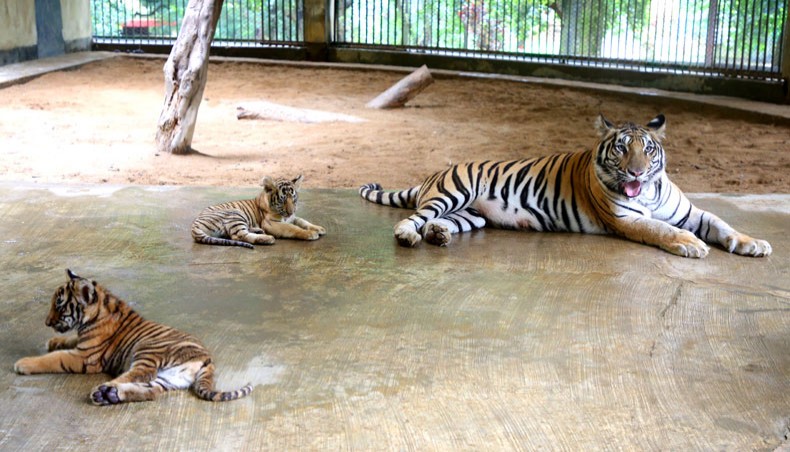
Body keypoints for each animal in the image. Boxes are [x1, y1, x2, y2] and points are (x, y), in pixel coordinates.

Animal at [14, 268, 254, 406]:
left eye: (59, 305)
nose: (47, 323)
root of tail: (208, 358)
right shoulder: (82, 343)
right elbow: (67, 341)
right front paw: (52, 342)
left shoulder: (85, 357)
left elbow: (54, 359)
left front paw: (23, 364)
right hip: (169, 378)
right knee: (150, 392)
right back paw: (110, 395)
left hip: (148, 350)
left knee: (139, 373)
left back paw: (103, 390)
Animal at [362, 113, 776, 258]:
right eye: (622, 149)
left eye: (648, 150)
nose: (637, 174)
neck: (650, 193)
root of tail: (431, 176)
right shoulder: (627, 219)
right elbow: (660, 229)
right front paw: (691, 245)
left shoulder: (692, 212)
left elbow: (722, 223)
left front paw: (754, 243)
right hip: (453, 193)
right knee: (412, 219)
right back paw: (410, 236)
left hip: (470, 215)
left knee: (440, 223)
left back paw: (438, 236)